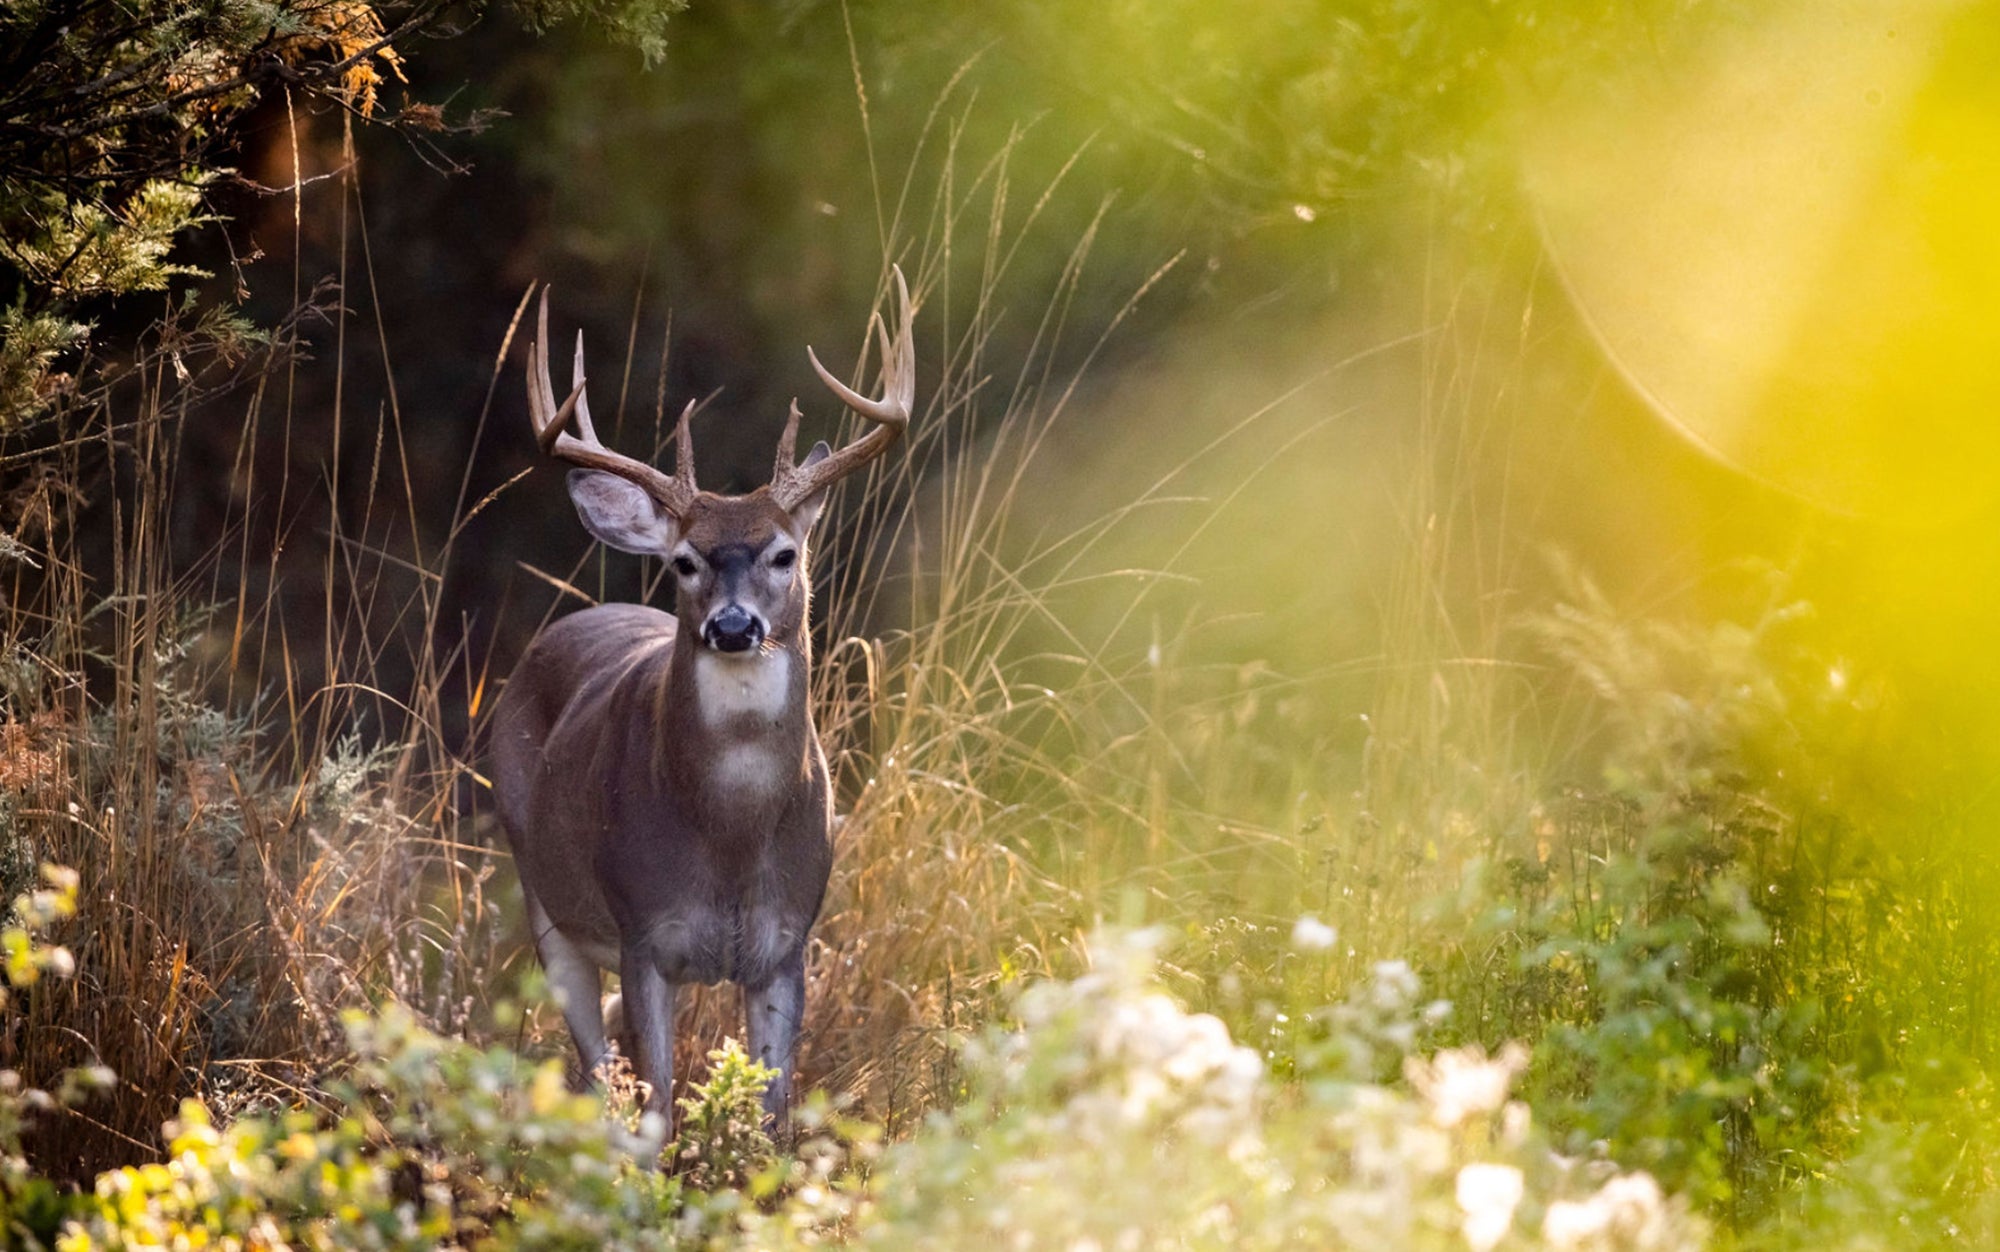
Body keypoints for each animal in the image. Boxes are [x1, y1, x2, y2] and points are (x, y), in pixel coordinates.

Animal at [490, 268, 914, 1127]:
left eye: (785, 553)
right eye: (685, 560)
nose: (732, 626)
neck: (730, 837)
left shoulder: (787, 942)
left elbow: (773, 1118)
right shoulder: (643, 933)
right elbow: (657, 1111)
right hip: (544, 898)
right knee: (596, 1068)